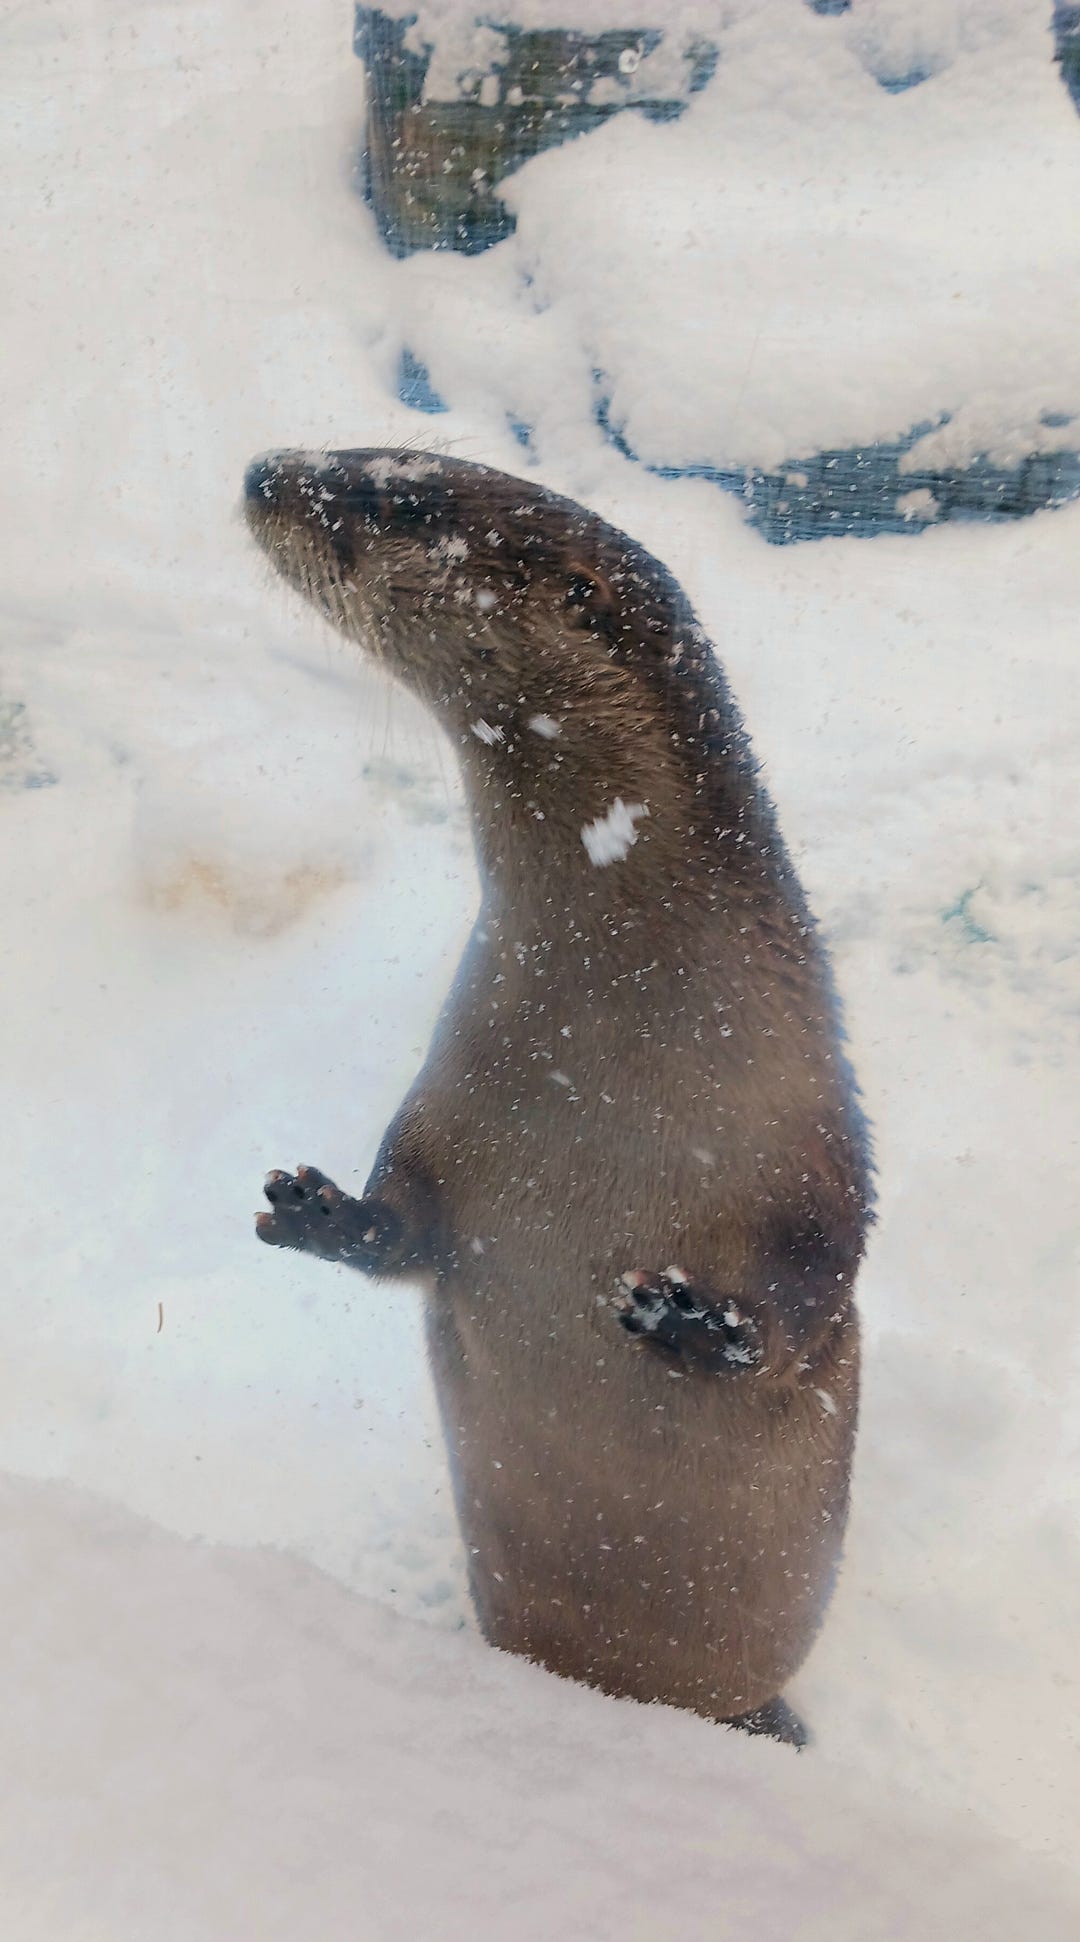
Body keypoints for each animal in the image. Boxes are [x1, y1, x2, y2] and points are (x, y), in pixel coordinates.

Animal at [244, 448, 872, 1746]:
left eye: (401, 498)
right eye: (358, 453)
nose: (264, 470)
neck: (613, 1062)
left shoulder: (814, 1136)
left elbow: (815, 1288)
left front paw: (695, 1322)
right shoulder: (455, 1101)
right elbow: (408, 1225)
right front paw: (317, 1207)